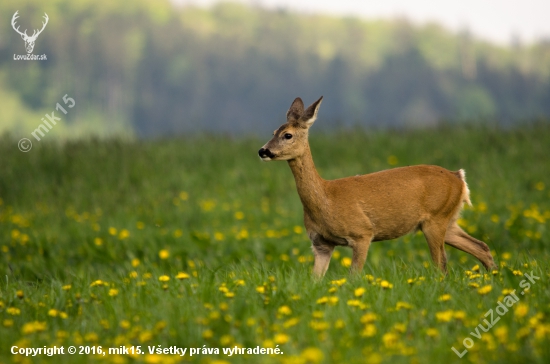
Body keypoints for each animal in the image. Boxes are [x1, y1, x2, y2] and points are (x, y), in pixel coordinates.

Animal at [260, 96, 498, 278]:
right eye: (273, 132)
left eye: (287, 135)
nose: (263, 151)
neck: (326, 198)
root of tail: (459, 178)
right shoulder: (321, 244)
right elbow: (315, 280)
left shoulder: (362, 233)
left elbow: (353, 277)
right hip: (448, 220)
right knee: (482, 247)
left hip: (436, 218)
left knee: (442, 265)